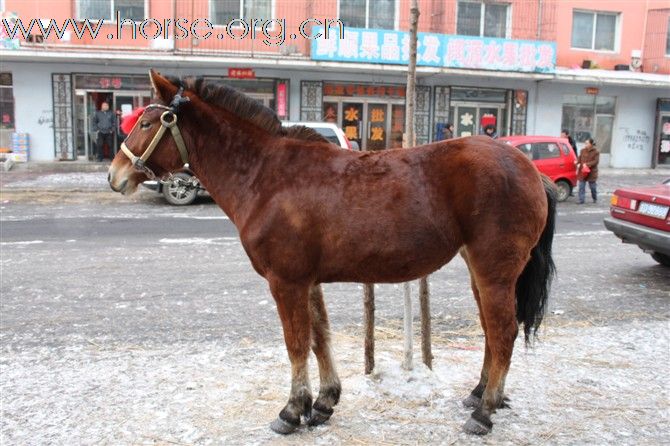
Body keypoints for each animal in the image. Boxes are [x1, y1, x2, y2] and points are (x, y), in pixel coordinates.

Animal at [110, 70, 560, 436]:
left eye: (147, 122)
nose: (115, 175)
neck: (267, 176)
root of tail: (528, 167)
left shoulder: (285, 282)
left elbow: (296, 343)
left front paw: (292, 410)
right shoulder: (306, 281)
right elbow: (318, 338)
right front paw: (323, 402)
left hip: (494, 270)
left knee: (502, 332)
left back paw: (484, 412)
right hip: (480, 270)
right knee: (490, 331)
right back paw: (480, 393)